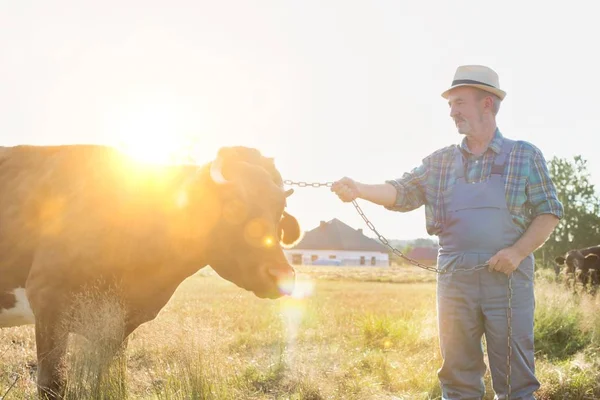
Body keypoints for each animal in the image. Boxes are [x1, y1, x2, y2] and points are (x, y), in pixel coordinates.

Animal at [0, 145, 300, 398]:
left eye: (279, 210)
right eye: (233, 204)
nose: (282, 274)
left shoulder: (116, 326)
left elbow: (113, 383)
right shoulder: (48, 303)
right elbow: (52, 385)